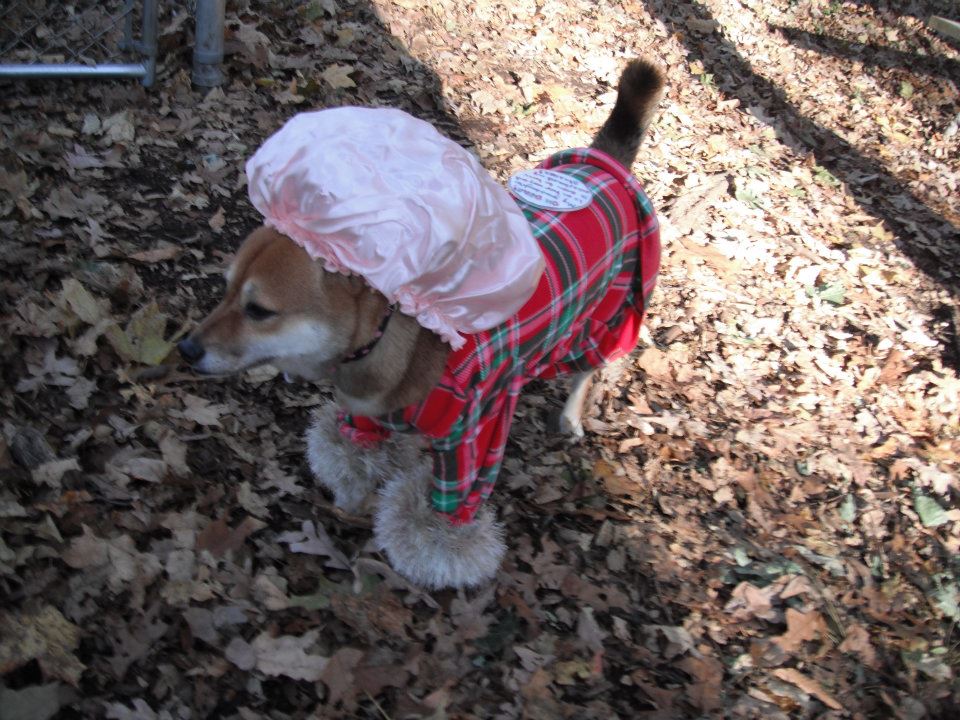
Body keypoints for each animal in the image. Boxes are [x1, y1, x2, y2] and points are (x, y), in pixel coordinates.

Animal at [179, 59, 665, 589]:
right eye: (225, 290)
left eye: (260, 310)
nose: (186, 349)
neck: (391, 338)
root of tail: (603, 165)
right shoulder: (363, 416)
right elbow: (354, 464)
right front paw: (347, 506)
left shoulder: (475, 440)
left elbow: (444, 518)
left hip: (603, 321)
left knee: (587, 369)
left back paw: (572, 415)